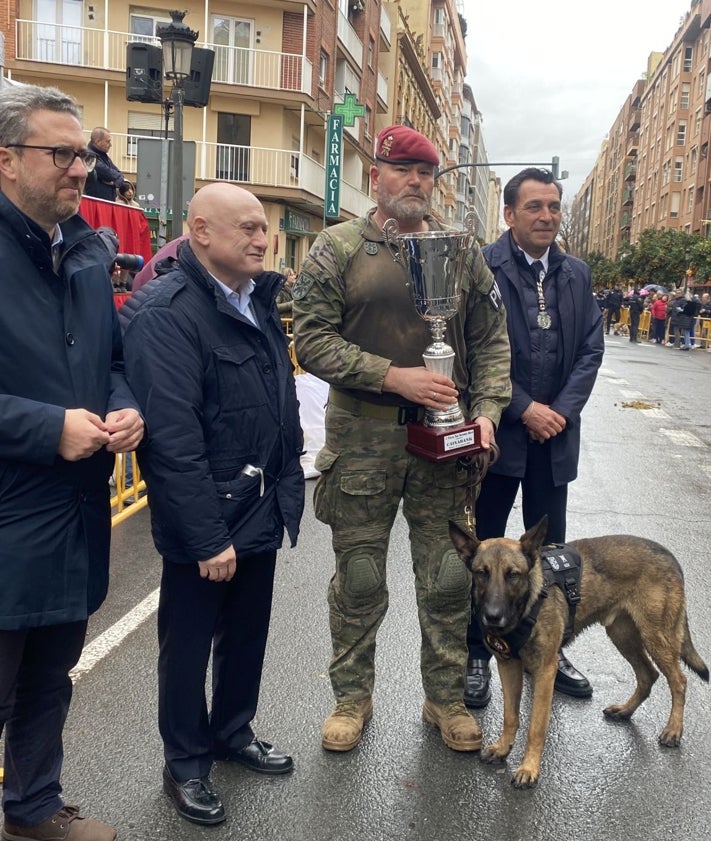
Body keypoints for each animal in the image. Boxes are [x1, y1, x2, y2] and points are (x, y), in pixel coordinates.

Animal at [448, 520, 708, 788]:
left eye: (513, 574)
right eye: (482, 573)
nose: (492, 616)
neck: (527, 604)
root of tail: (668, 555)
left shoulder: (545, 671)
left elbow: (536, 726)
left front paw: (529, 768)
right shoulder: (508, 665)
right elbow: (510, 716)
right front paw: (503, 748)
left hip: (655, 637)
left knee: (678, 680)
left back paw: (673, 730)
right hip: (623, 636)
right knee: (648, 675)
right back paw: (625, 710)